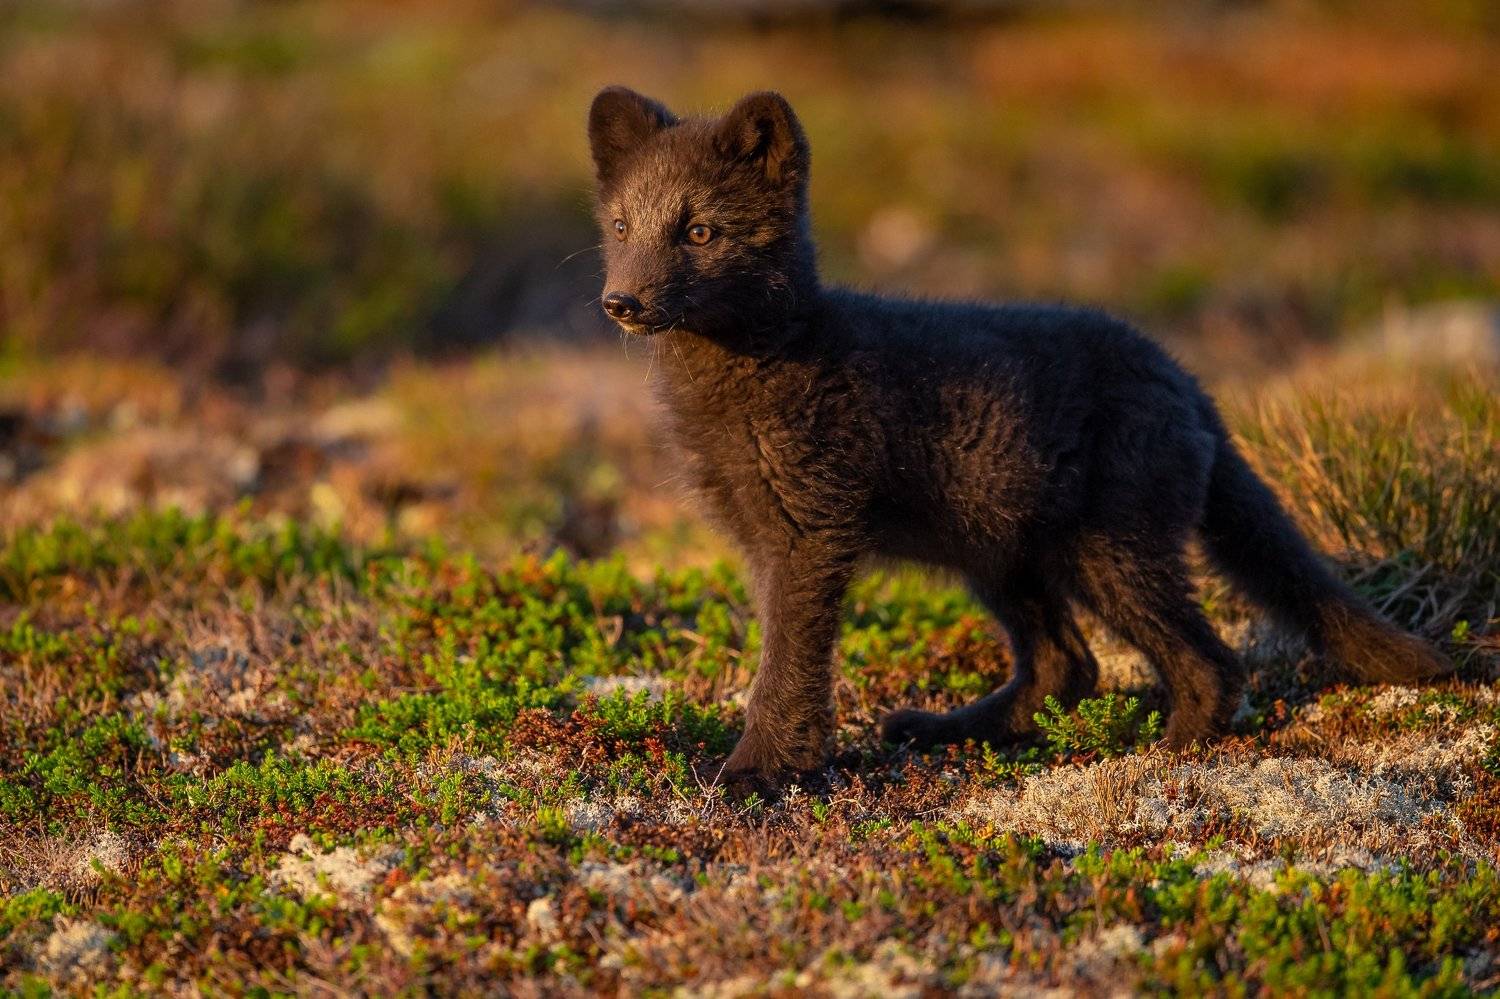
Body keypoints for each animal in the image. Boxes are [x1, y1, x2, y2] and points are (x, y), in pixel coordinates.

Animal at [586, 86, 1450, 777]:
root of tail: (1183, 374)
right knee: (1068, 664)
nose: (620, 304)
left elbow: (789, 665)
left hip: (1112, 546)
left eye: (699, 232)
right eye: (622, 226)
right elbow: (783, 659)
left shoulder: (809, 531)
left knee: (1210, 662)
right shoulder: (761, 534)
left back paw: (1162, 755)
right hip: (999, 546)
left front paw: (758, 772)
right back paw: (950, 729)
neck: (768, 358)